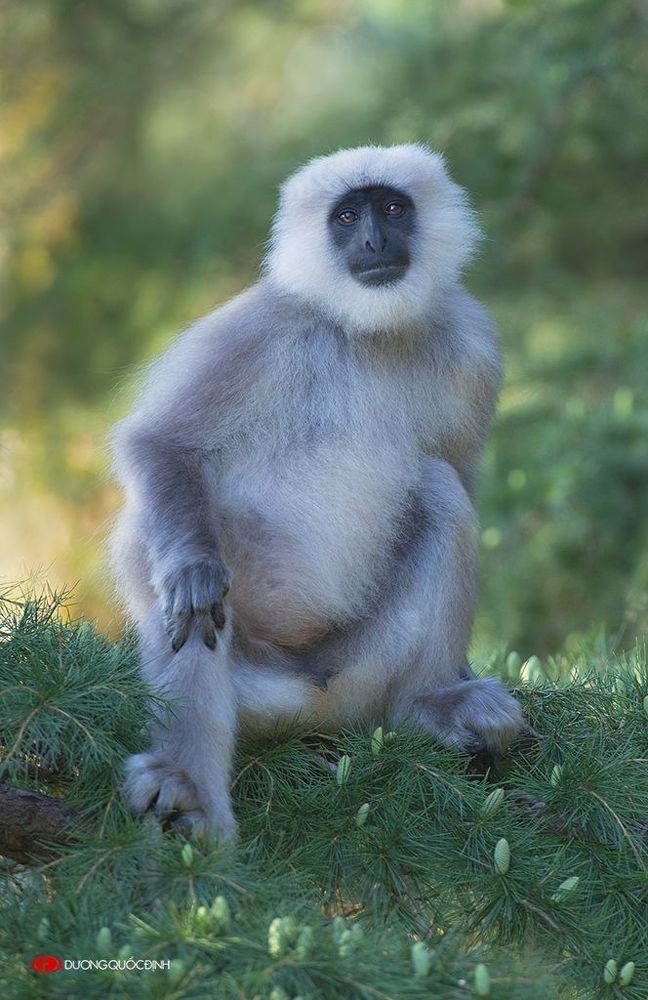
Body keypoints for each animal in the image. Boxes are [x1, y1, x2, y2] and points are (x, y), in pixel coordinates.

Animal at [109, 143, 524, 841]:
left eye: (392, 208)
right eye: (347, 216)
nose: (374, 240)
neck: (368, 333)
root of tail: (309, 700)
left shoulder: (472, 343)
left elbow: (459, 472)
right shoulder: (266, 326)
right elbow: (162, 445)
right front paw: (192, 568)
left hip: (361, 666)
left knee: (439, 488)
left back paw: (425, 702)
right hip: (259, 668)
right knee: (166, 560)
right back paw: (187, 786)